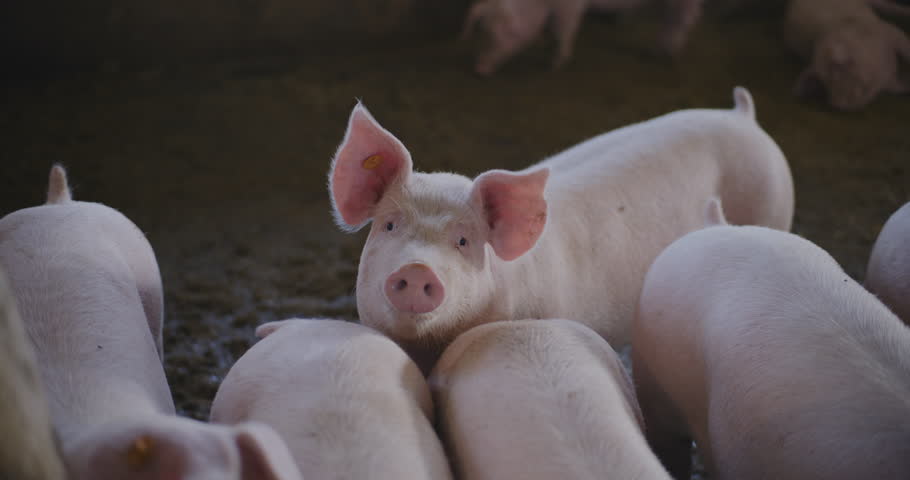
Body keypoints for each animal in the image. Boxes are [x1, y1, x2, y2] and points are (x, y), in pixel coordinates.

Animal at [328, 86, 794, 371]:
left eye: (464, 241)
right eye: (389, 225)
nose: (416, 269)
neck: (429, 348)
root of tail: (743, 116)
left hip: (774, 202)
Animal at [460, 0, 705, 75]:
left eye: (502, 34)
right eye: (481, 30)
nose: (478, 70)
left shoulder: (570, 7)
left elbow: (565, 30)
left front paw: (554, 65)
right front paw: (545, 43)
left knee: (682, 20)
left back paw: (662, 54)